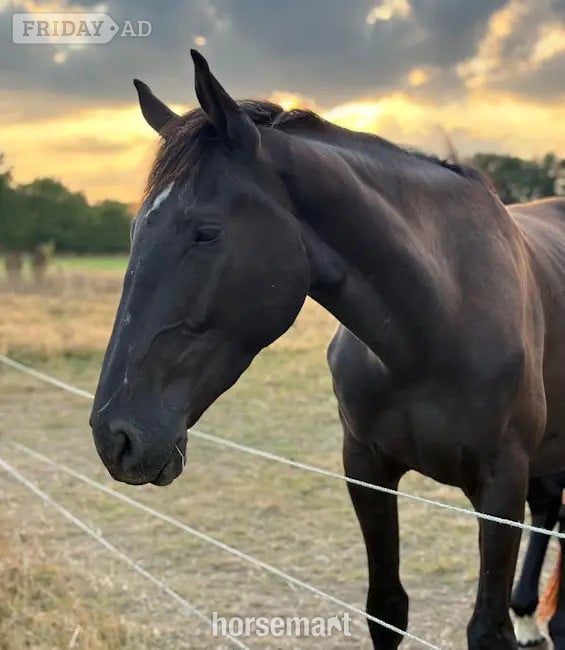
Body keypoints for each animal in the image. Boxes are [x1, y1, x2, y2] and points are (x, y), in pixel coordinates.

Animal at [89, 51, 565, 649]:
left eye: (206, 232)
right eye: (135, 230)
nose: (115, 437)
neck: (441, 317)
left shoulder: (501, 486)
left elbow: (486, 628)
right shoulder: (365, 469)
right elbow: (386, 608)